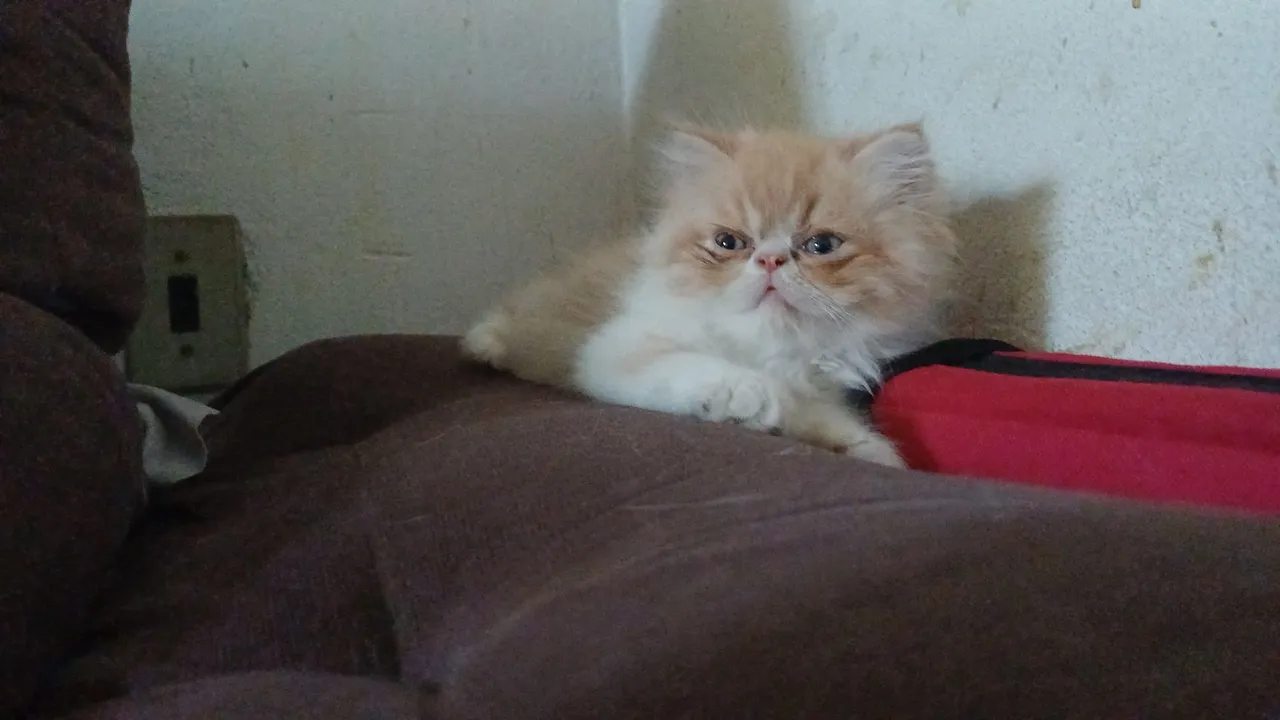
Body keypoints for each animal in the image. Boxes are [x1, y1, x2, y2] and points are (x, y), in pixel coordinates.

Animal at [462, 120, 956, 467]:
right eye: (729, 242)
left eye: (821, 245)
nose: (770, 260)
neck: (768, 348)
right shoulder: (619, 347)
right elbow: (697, 366)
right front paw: (751, 395)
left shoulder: (820, 388)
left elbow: (822, 417)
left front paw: (871, 451)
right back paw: (486, 342)